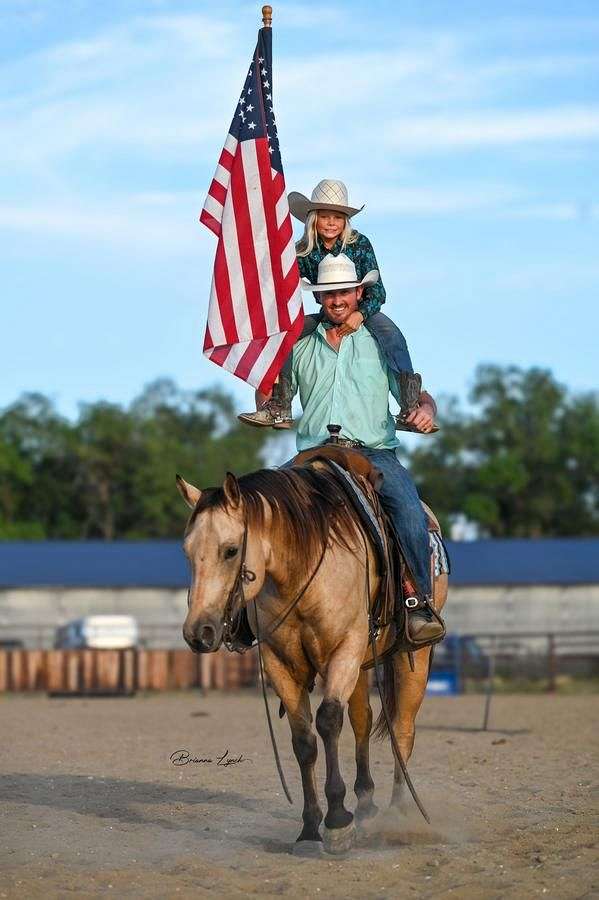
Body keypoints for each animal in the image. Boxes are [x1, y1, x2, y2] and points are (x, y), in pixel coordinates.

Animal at [176, 460, 448, 856]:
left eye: (230, 550)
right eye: (187, 551)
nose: (199, 632)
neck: (300, 566)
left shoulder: (344, 649)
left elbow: (329, 721)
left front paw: (336, 821)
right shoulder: (280, 663)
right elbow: (304, 740)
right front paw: (309, 828)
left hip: (412, 655)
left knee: (402, 729)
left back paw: (399, 816)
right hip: (362, 664)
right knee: (363, 720)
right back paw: (366, 804)